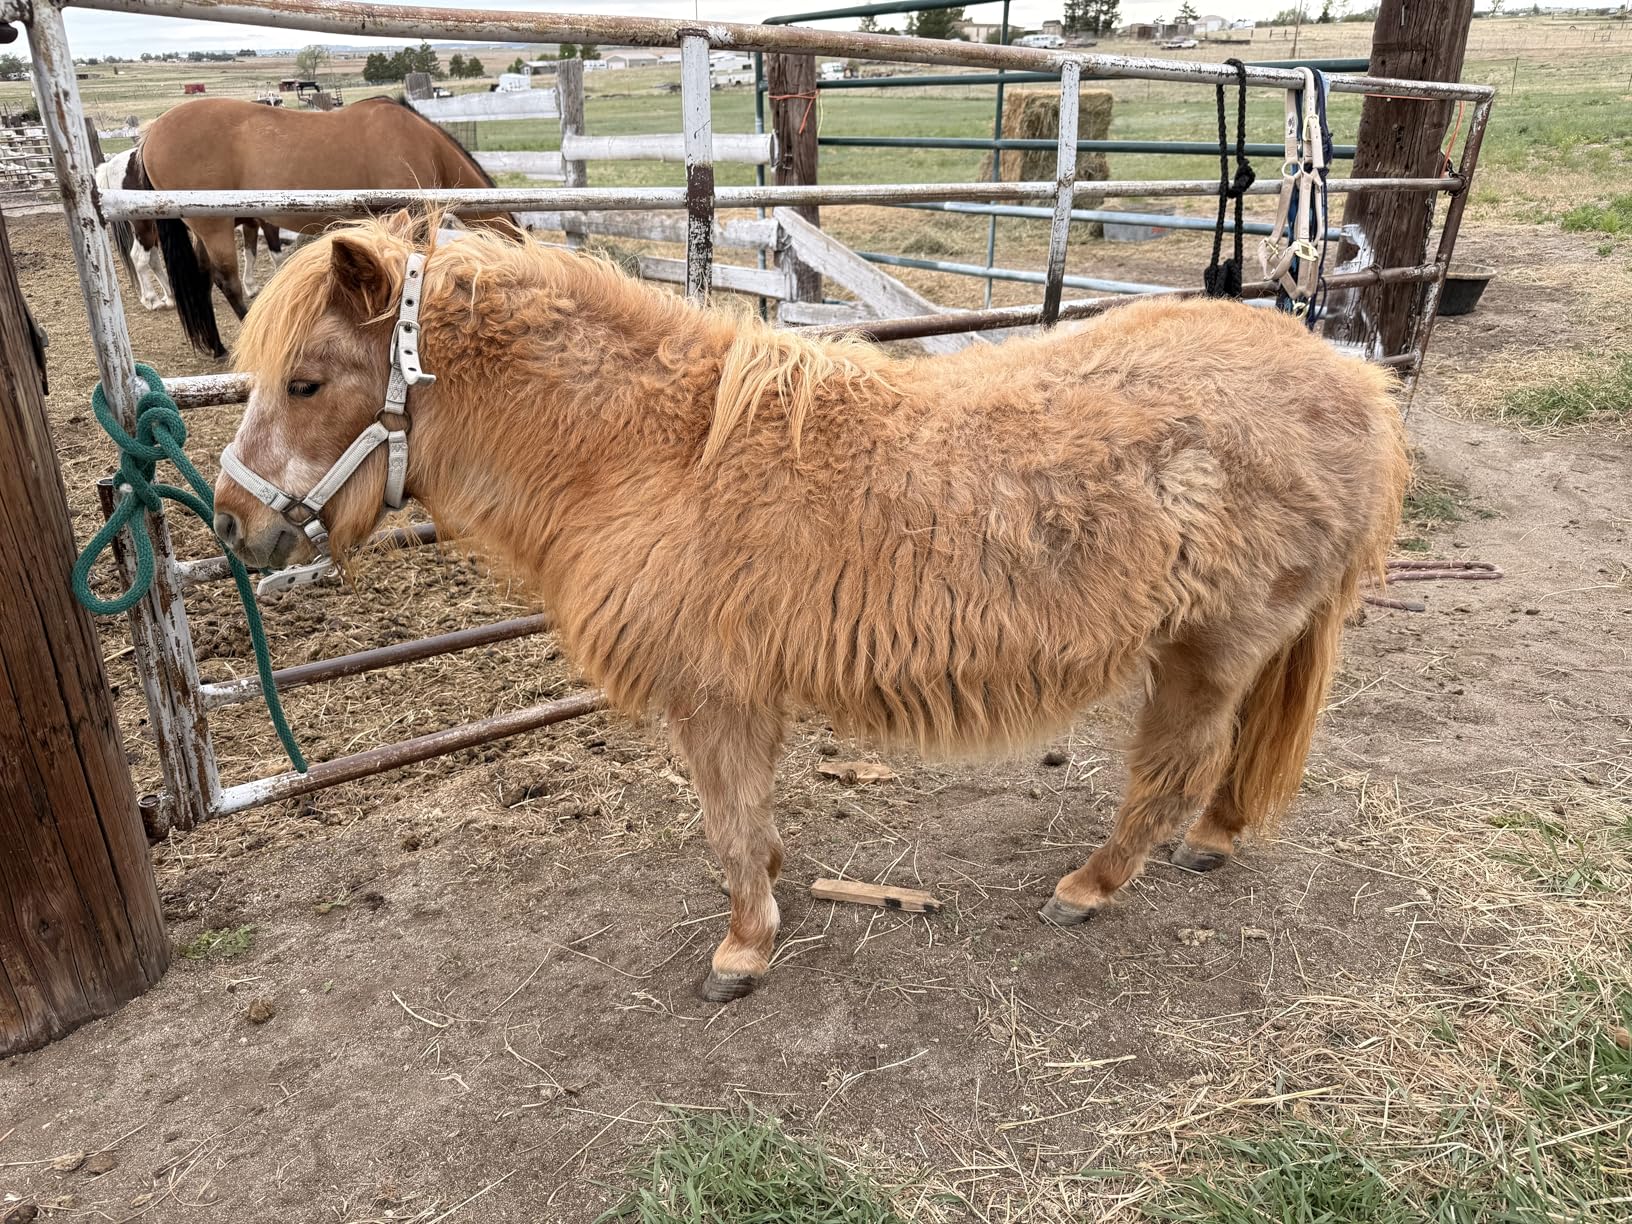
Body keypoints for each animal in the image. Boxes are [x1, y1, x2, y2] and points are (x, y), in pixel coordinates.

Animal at [136, 97, 507, 357]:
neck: (422, 143)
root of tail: (150, 134)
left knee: (203, 276)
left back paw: (216, 347)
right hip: (214, 225)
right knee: (227, 281)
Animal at [214, 214, 1409, 1003]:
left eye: (307, 382)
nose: (232, 525)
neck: (649, 451)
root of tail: (1353, 385)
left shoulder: (715, 697)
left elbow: (729, 826)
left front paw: (745, 948)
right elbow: (752, 821)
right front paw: (776, 896)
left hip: (1209, 652)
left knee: (1174, 771)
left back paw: (1093, 884)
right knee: (1227, 761)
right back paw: (1212, 841)